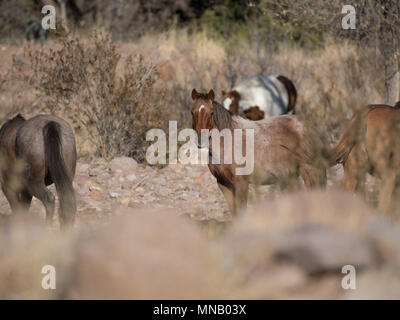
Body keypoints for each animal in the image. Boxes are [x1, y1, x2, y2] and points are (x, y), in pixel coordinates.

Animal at [192, 89, 326, 216]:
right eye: (192, 112)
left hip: (309, 172)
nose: (201, 140)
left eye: (211, 112)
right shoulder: (224, 184)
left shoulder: (241, 184)